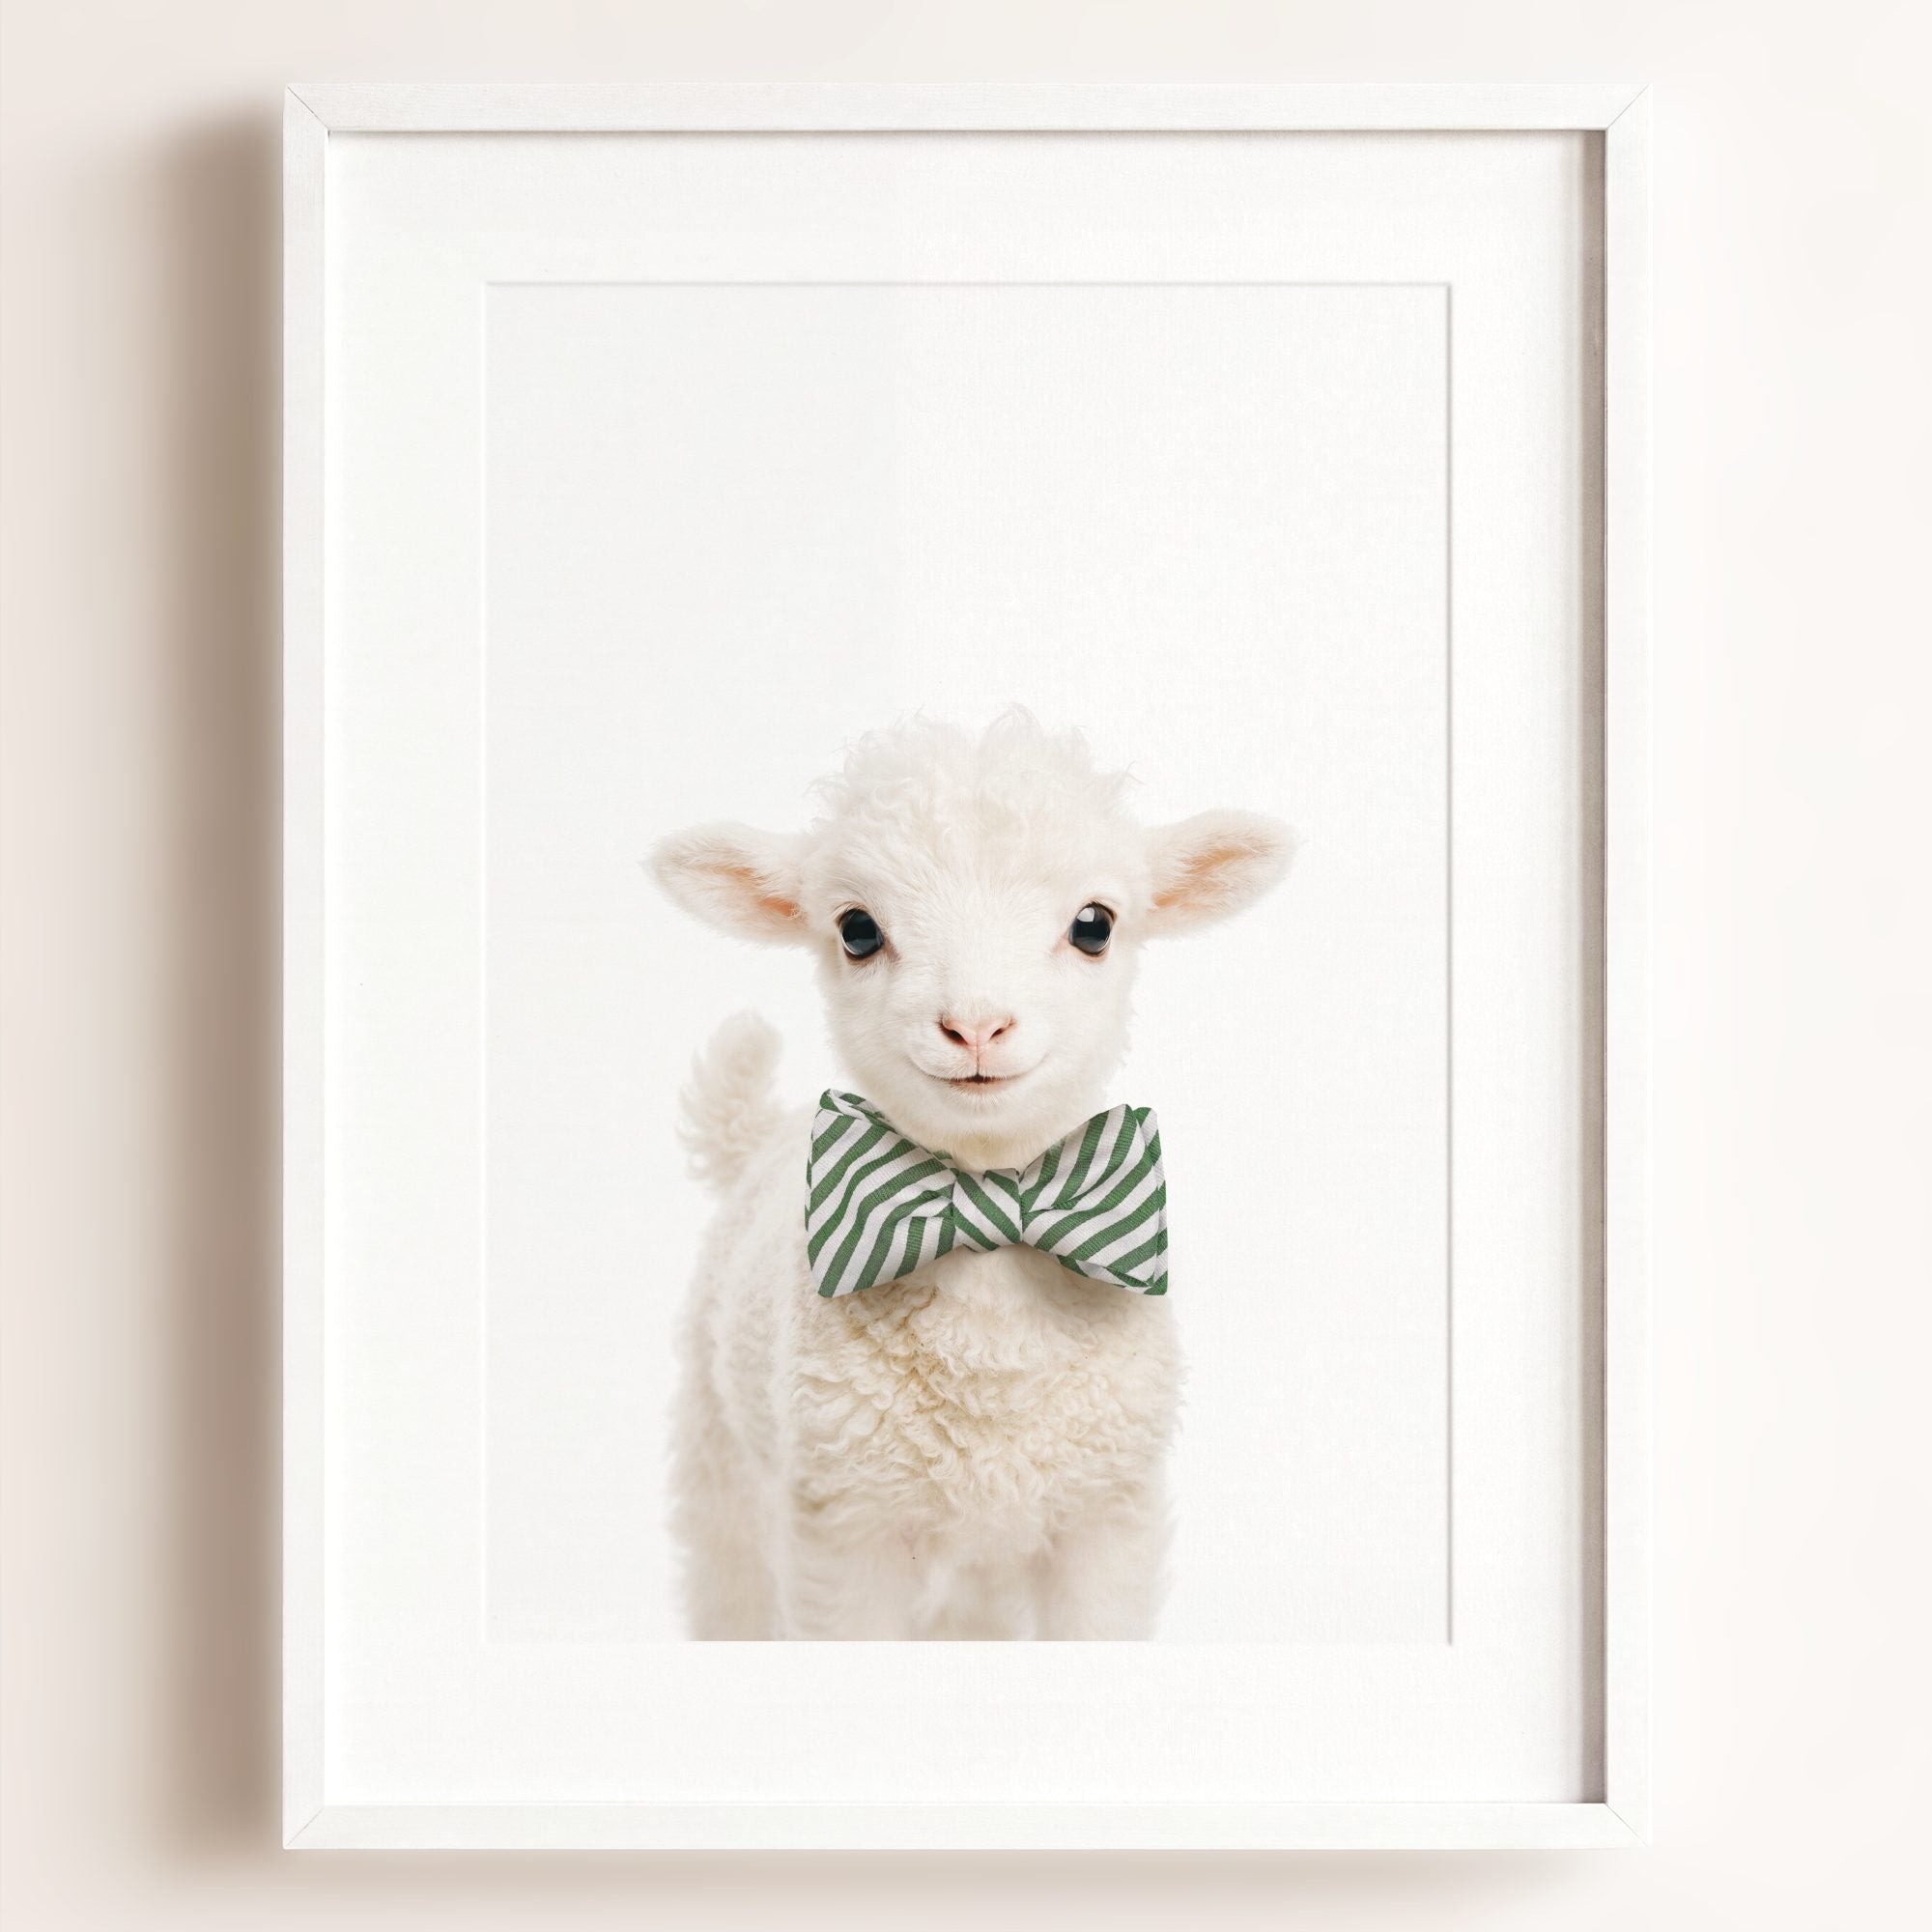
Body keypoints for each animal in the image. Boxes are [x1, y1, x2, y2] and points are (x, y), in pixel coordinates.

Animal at [650, 711, 1295, 1639]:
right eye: (856, 930)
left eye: (1095, 924)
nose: (977, 1025)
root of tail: (757, 1136)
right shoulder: (844, 1529)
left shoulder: (1106, 1517)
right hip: (723, 1464)